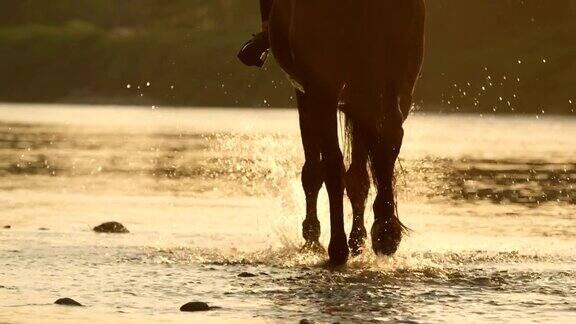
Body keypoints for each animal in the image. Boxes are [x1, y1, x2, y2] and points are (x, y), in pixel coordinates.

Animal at [268, 0, 426, 264]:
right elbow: (359, 175)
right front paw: (359, 239)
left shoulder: (307, 89)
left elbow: (314, 171)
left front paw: (313, 237)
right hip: (400, 79)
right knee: (390, 135)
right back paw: (385, 232)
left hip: (325, 86)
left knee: (333, 163)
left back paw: (338, 246)